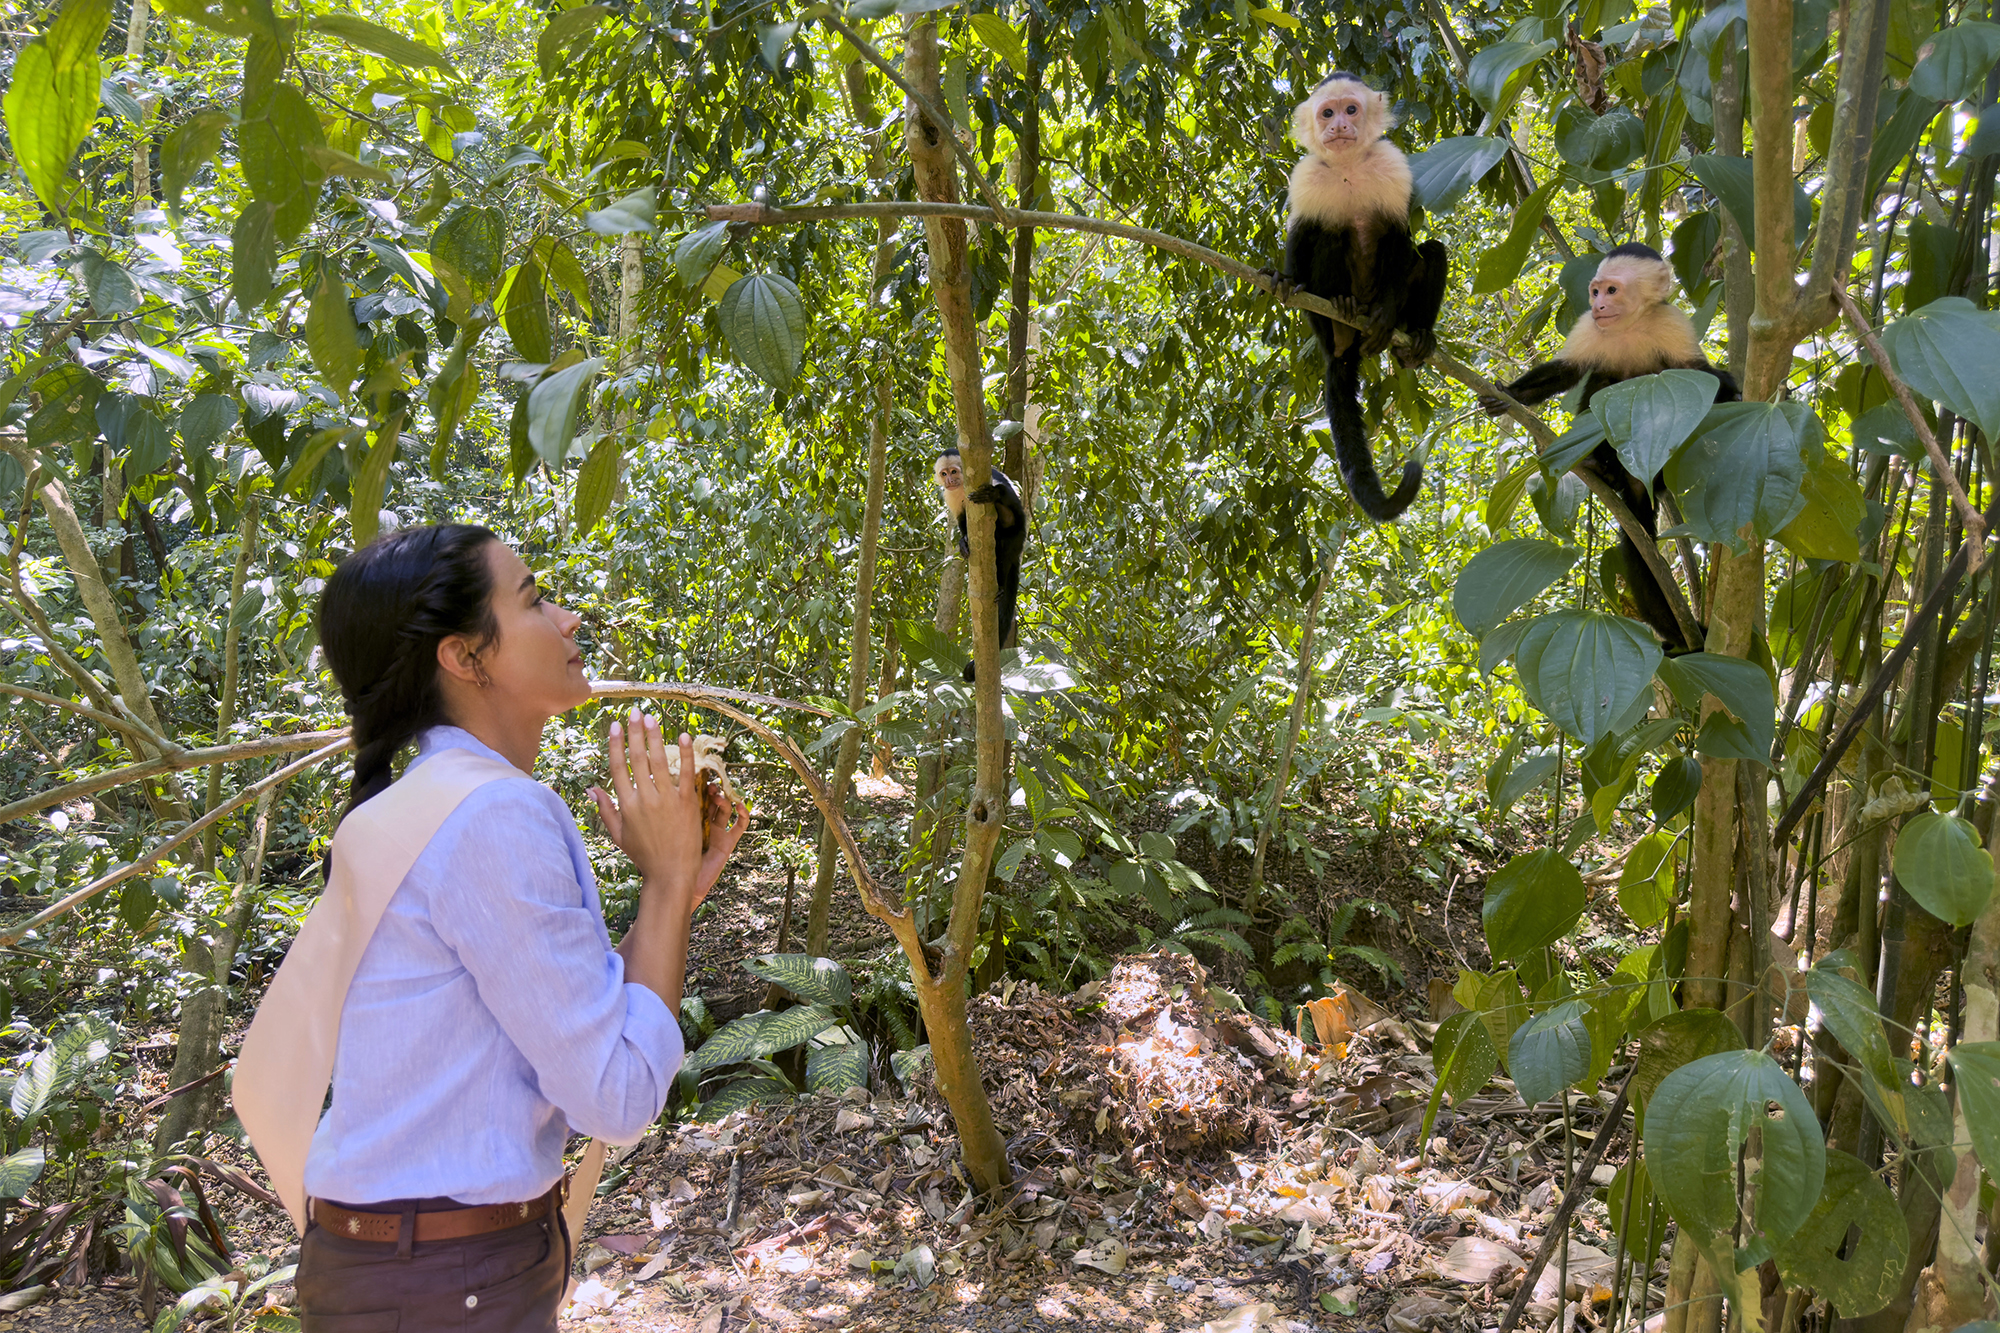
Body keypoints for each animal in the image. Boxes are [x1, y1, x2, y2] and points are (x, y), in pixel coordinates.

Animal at [928, 446, 1024, 680]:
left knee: (1008, 535)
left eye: (954, 471)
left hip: (1018, 536)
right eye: (944, 473)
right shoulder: (950, 495)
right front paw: (963, 542)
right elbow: (961, 520)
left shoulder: (989, 477)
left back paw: (1000, 585)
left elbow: (1009, 498)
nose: (950, 480)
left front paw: (996, 494)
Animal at [1280, 71, 1456, 520]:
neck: (1348, 167)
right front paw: (1286, 279)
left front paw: (1388, 314)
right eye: (1327, 112)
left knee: (1431, 251)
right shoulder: (1306, 175)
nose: (1339, 125)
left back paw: (1413, 337)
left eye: (1351, 109)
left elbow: (1399, 235)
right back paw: (1341, 312)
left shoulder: (1392, 164)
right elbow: (1301, 235)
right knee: (1330, 233)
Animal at [1480, 243, 1744, 652]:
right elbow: (1568, 371)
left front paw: (1732, 387)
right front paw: (1510, 395)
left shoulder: (1672, 323)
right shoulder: (1589, 327)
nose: (1599, 304)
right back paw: (1602, 465)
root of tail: (1638, 481)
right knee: (1602, 384)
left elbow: (1697, 375)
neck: (1628, 325)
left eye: (1613, 290)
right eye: (1595, 291)